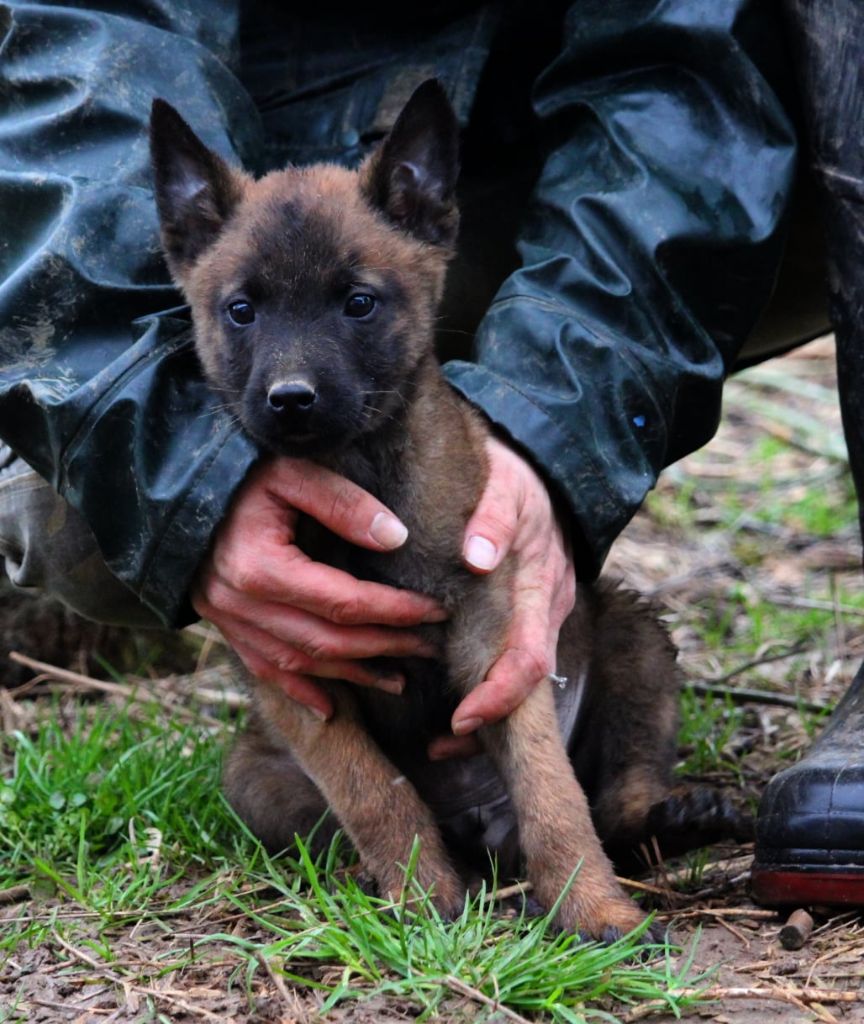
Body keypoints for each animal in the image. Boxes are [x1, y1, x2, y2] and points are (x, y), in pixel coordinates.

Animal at [150, 81, 741, 942]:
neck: (363, 474)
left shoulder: (501, 649)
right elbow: (377, 796)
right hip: (252, 775)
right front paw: (422, 899)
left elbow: (556, 799)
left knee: (614, 801)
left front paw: (596, 911)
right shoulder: (298, 681)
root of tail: (482, 831)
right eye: (241, 311)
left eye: (358, 303)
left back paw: (672, 817)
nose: (290, 400)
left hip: (634, 638)